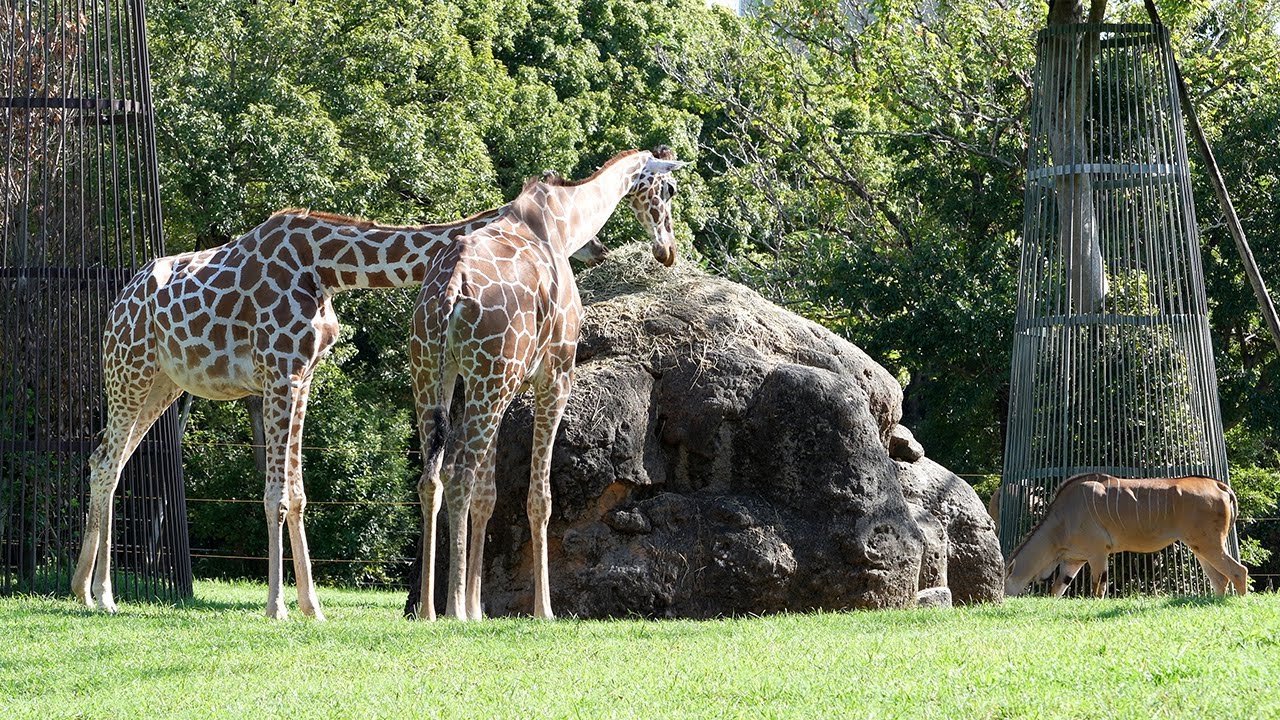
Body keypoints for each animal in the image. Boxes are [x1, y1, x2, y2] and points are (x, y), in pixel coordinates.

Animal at [70, 202, 558, 620]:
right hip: (129, 369)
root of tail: (119, 302)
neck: (325, 266)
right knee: (108, 463)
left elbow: (299, 494)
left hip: (162, 384)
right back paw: (105, 595)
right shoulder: (278, 374)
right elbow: (275, 496)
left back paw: (82, 590)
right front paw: (277, 608)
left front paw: (312, 607)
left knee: (105, 459)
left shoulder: (302, 378)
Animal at [409, 147, 686, 621]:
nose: (666, 250)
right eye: (667, 189)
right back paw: (452, 610)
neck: (561, 221)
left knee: (432, 478)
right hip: (489, 377)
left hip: (436, 375)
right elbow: (540, 499)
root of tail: (448, 292)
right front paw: (544, 609)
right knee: (458, 473)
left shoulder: (500, 387)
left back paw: (429, 609)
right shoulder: (555, 375)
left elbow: (489, 495)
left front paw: (480, 609)